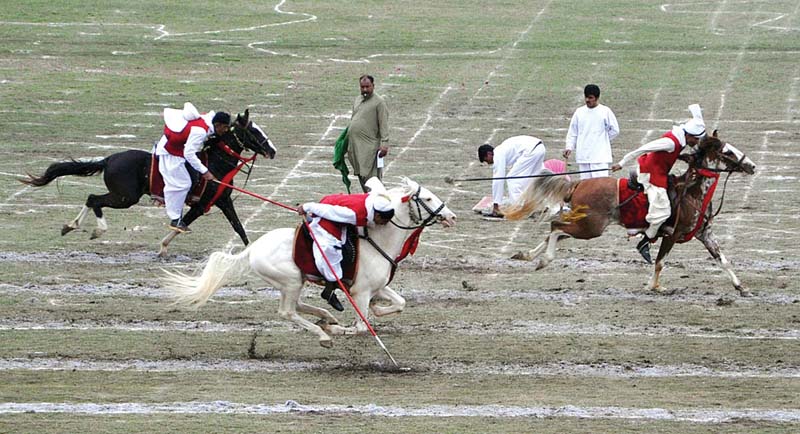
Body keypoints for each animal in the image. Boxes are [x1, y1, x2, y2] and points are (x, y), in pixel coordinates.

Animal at [20, 110, 276, 256]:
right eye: (253, 131)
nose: (272, 151)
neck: (215, 163)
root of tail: (108, 159)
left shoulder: (221, 201)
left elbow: (238, 227)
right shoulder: (203, 203)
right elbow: (186, 223)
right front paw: (163, 247)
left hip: (124, 196)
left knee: (92, 199)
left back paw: (71, 225)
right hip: (125, 197)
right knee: (94, 200)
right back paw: (96, 229)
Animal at [167, 178, 456, 348]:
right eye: (427, 198)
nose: (452, 217)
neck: (378, 240)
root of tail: (252, 249)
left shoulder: (377, 287)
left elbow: (400, 303)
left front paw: (376, 310)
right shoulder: (360, 292)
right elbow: (361, 327)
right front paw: (338, 330)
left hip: (295, 281)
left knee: (296, 306)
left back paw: (326, 316)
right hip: (291, 281)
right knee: (287, 311)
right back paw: (324, 332)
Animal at [506, 131, 756, 296]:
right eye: (727, 151)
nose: (752, 166)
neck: (692, 192)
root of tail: (577, 183)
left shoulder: (705, 235)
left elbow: (723, 260)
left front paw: (741, 287)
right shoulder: (672, 235)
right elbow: (660, 262)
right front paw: (654, 286)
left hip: (584, 223)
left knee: (556, 229)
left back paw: (527, 255)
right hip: (591, 227)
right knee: (556, 227)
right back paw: (543, 260)